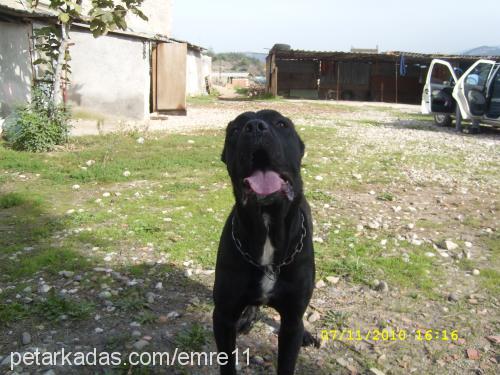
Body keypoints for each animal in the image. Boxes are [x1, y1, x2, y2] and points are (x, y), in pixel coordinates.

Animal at [212, 110, 316, 374]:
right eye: (235, 130)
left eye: (281, 124)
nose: (255, 127)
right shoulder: (223, 316)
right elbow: (227, 364)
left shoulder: (291, 322)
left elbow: (287, 362)